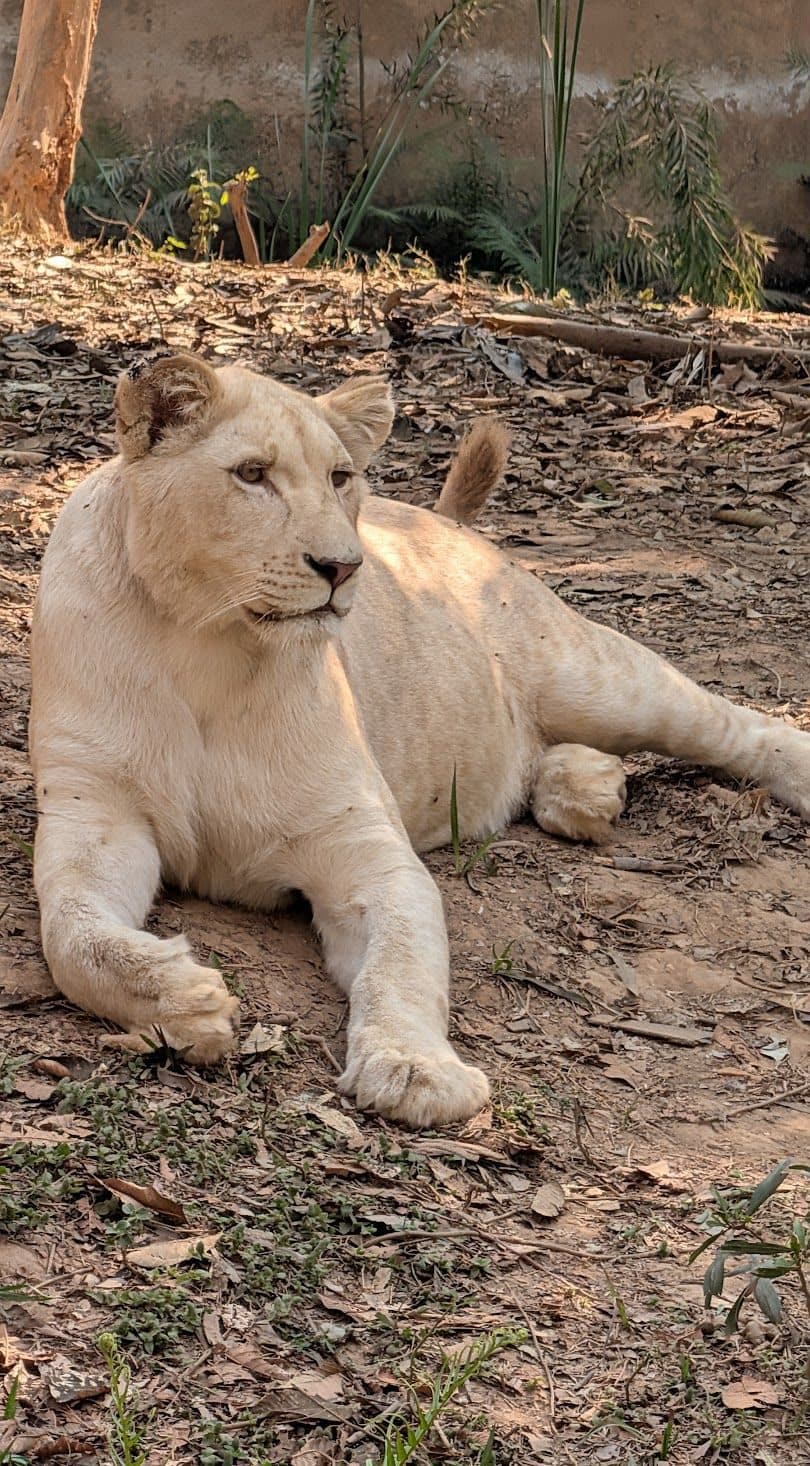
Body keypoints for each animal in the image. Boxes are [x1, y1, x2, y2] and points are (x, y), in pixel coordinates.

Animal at [29, 354, 810, 1127]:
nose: (344, 567)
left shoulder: (361, 846)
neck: (205, 645)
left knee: (727, 722)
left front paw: (415, 1070)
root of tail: (442, 521)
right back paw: (585, 793)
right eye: (252, 475)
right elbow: (71, 931)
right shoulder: (95, 812)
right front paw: (181, 998)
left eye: (341, 477)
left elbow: (402, 963)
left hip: (592, 676)